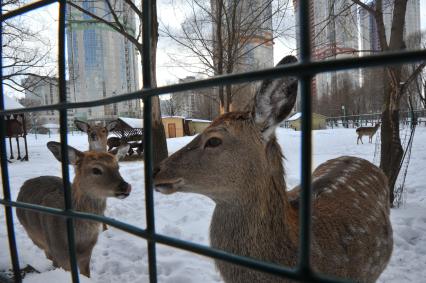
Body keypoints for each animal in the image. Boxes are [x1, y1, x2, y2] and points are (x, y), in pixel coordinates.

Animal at [15, 142, 131, 278]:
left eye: (117, 167)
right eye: (96, 170)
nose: (125, 186)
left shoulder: (87, 253)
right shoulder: (59, 251)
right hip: (36, 237)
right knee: (48, 255)